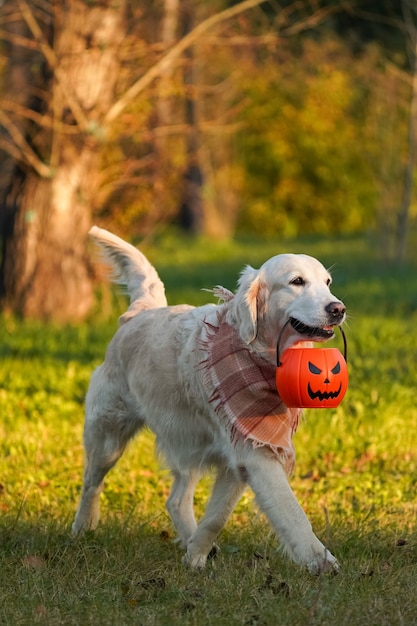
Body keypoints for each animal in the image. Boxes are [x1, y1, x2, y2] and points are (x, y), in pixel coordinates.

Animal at [73, 227, 346, 572]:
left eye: (327, 282)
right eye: (297, 282)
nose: (338, 309)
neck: (257, 354)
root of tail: (141, 312)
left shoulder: (239, 456)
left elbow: (217, 516)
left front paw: (195, 556)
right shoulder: (256, 454)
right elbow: (292, 513)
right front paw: (321, 560)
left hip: (188, 441)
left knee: (175, 499)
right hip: (108, 434)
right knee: (90, 482)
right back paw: (83, 526)